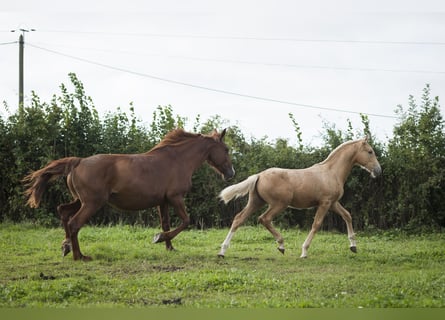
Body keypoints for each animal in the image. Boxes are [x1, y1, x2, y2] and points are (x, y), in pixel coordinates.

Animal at [23, 127, 234, 260]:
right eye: (226, 149)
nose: (231, 173)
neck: (177, 160)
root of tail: (78, 162)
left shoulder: (163, 201)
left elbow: (166, 223)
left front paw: (169, 247)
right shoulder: (176, 197)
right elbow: (185, 221)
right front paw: (159, 238)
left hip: (80, 200)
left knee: (64, 212)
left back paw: (66, 247)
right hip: (92, 203)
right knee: (74, 223)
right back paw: (79, 256)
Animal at [217, 136, 380, 258]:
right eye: (370, 151)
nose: (378, 171)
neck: (331, 172)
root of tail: (259, 175)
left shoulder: (333, 203)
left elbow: (347, 215)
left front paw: (353, 246)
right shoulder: (325, 203)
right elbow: (316, 224)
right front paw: (304, 252)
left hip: (256, 202)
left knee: (238, 219)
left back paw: (222, 251)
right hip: (279, 204)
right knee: (264, 218)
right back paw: (281, 245)